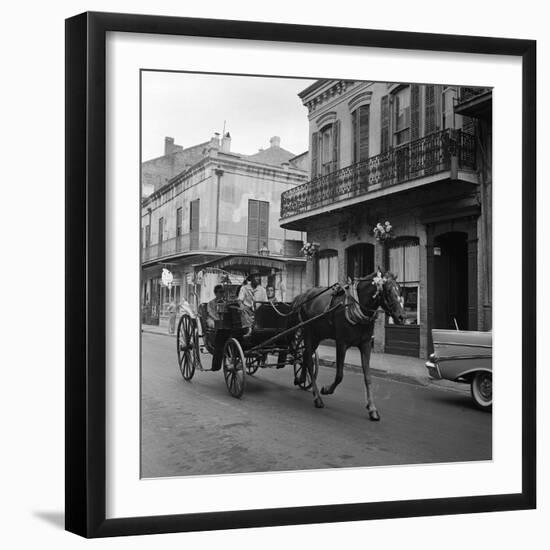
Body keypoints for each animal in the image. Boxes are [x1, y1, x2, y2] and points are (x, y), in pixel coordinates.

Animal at [294, 270, 406, 422]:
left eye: (400, 289)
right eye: (388, 290)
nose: (402, 317)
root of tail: (304, 295)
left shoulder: (365, 344)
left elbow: (368, 377)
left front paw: (372, 408)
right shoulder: (342, 343)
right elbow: (339, 375)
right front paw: (327, 389)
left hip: (318, 335)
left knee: (305, 356)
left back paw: (301, 379)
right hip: (308, 333)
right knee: (310, 363)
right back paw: (317, 398)